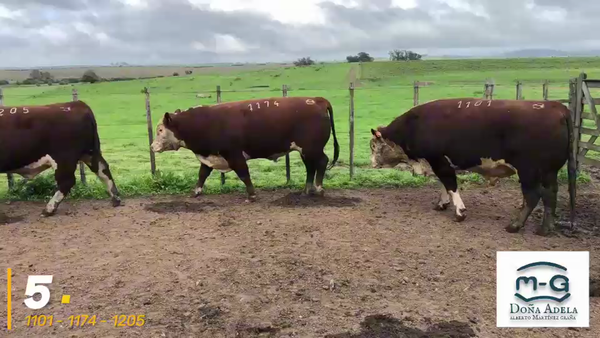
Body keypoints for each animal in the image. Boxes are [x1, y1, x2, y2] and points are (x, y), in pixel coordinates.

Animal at [151, 95, 338, 201]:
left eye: (160, 130)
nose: (152, 146)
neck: (205, 122)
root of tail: (317, 100)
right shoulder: (210, 156)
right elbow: (202, 174)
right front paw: (196, 192)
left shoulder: (234, 155)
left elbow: (243, 174)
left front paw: (252, 195)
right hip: (305, 151)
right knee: (310, 167)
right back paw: (306, 191)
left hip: (311, 148)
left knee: (322, 162)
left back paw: (319, 188)